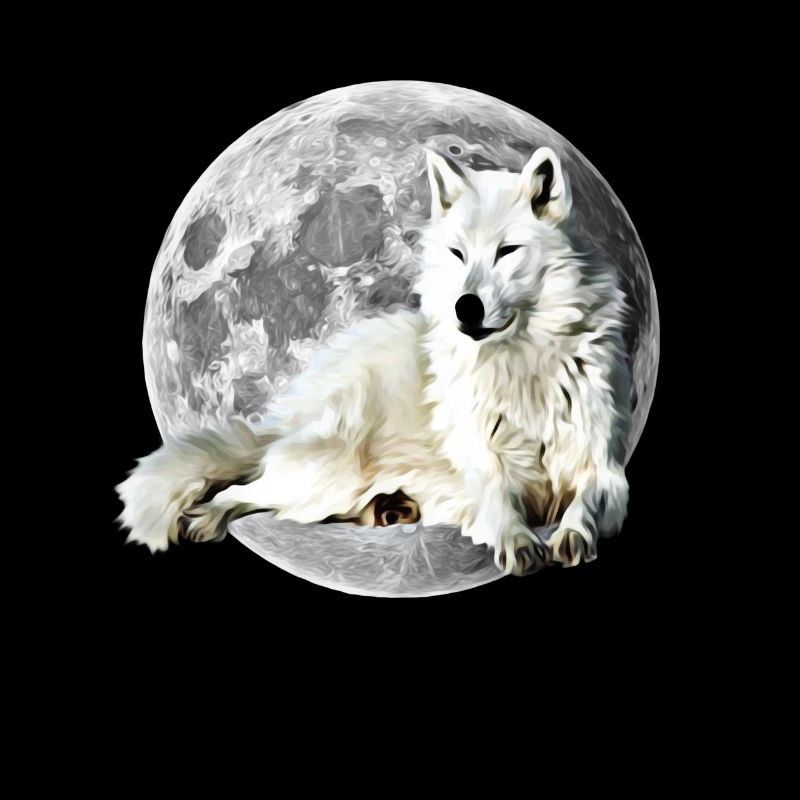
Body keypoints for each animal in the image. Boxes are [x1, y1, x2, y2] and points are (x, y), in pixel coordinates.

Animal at [117, 146, 632, 575]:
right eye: (458, 253)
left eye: (507, 251)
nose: (465, 307)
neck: (522, 365)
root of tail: (291, 417)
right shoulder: (482, 465)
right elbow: (499, 502)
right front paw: (518, 541)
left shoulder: (604, 467)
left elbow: (585, 500)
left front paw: (572, 533)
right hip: (325, 477)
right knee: (242, 491)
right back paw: (207, 516)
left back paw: (390, 509)